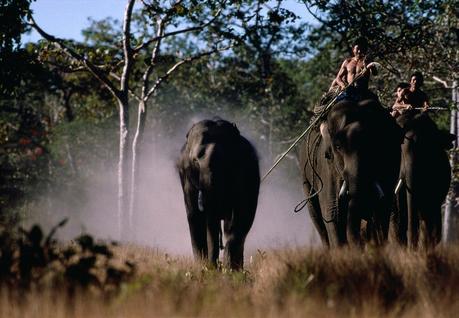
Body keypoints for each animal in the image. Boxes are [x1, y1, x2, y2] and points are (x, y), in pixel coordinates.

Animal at [178, 118, 260, 270]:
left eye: (228, 160)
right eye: (195, 161)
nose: (216, 266)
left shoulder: (247, 170)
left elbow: (243, 214)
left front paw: (230, 270)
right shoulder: (186, 175)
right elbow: (195, 216)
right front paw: (204, 268)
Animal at [298, 99, 402, 246]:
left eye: (376, 144)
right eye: (338, 147)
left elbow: (382, 208)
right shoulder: (327, 168)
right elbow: (333, 214)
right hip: (306, 177)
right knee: (318, 220)